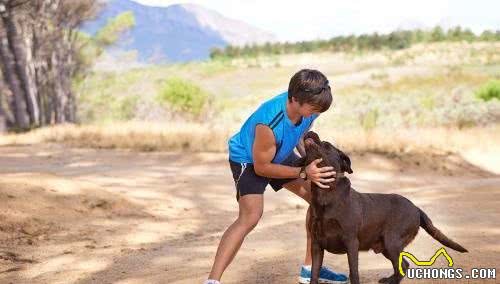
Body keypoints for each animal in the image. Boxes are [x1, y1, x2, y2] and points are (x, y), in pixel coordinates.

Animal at [300, 131, 468, 284]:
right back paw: (389, 279)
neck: (326, 193)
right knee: (403, 265)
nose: (310, 131)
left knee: (402, 266)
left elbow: (353, 273)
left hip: (391, 242)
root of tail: (416, 208)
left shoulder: (351, 242)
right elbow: (314, 273)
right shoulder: (316, 244)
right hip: (387, 247)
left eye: (327, 145)